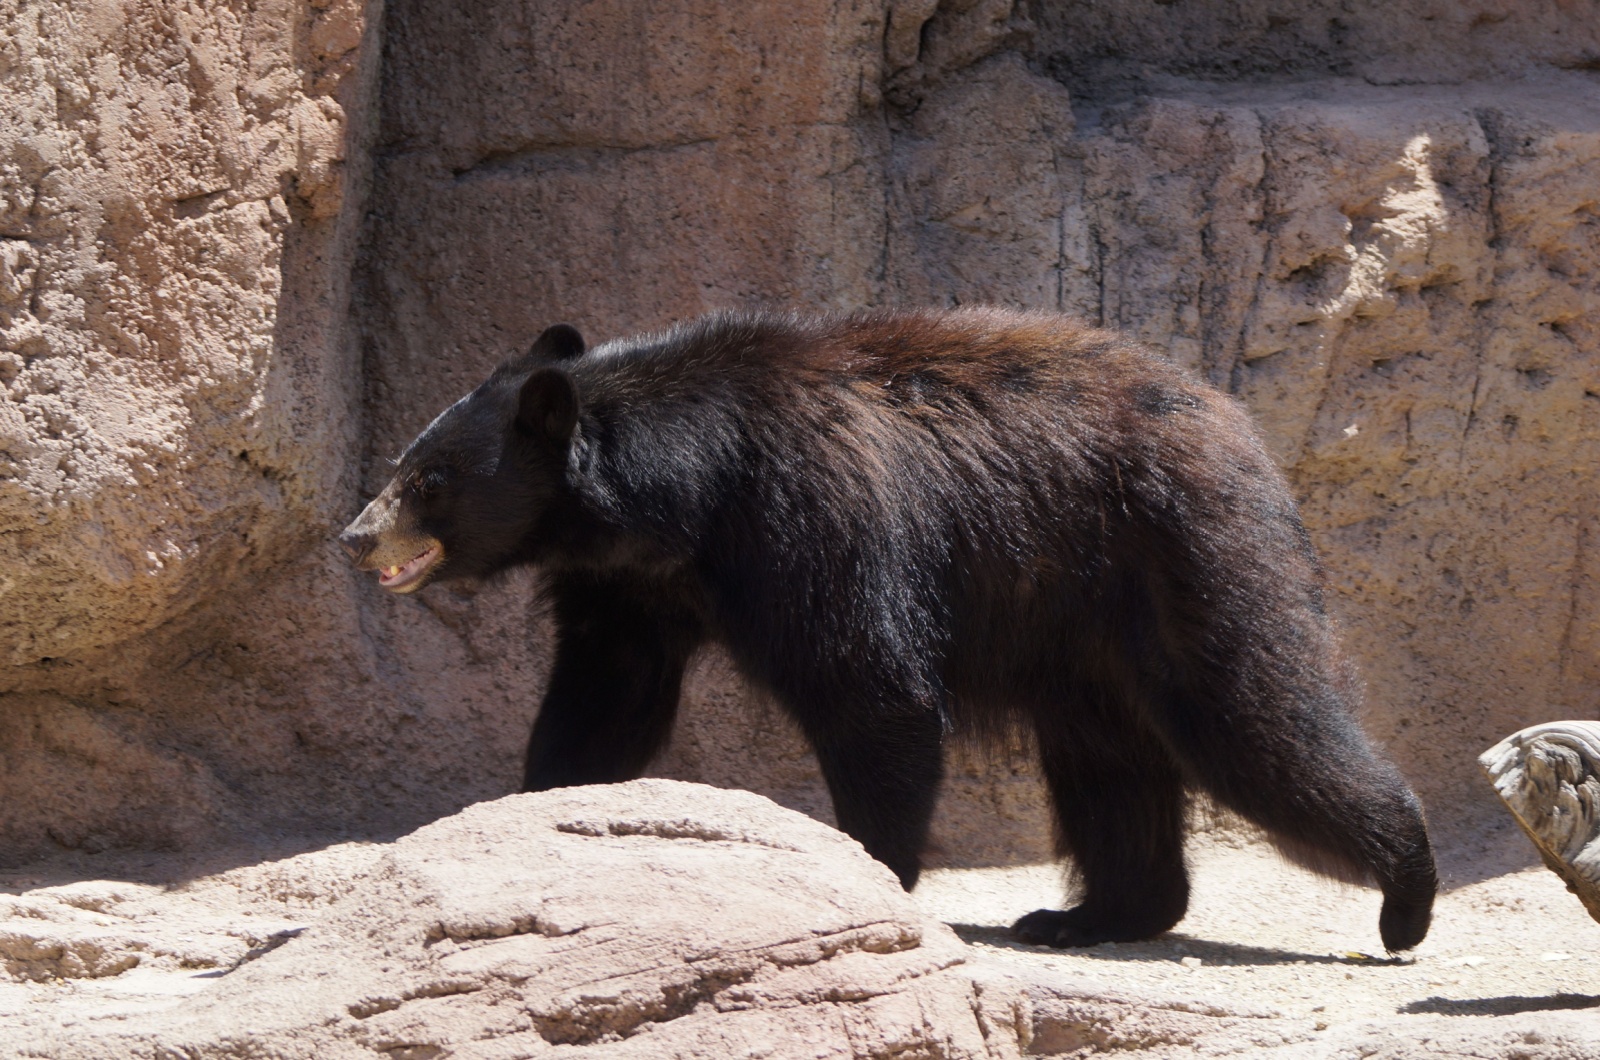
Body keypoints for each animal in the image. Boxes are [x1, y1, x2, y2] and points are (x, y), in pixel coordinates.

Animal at [337, 309, 1440, 954]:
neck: (679, 500)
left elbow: (870, 691)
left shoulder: (805, 520)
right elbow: (604, 697)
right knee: (1107, 765)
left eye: (428, 478)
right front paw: (536, 815)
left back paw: (1406, 893)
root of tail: (1233, 422)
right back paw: (1091, 913)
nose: (353, 536)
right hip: (1078, 623)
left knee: (1253, 721)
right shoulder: (632, 587)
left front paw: (867, 875)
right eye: (402, 462)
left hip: (1177, 555)